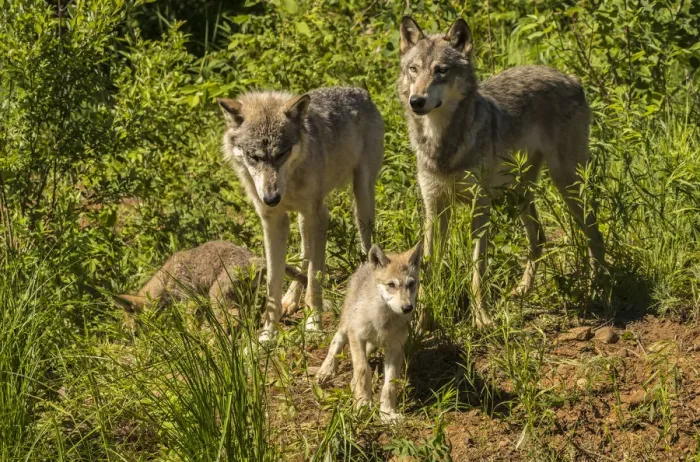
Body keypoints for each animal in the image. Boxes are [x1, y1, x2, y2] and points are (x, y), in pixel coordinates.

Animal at [114, 240, 306, 331]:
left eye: (130, 321)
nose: (132, 335)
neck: (165, 281)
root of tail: (254, 259)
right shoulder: (198, 305)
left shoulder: (190, 300)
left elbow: (190, 327)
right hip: (245, 296)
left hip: (217, 296)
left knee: (230, 319)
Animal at [218, 87, 384, 341]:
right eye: (254, 157)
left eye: (281, 153)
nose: (271, 198)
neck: (289, 184)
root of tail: (359, 91)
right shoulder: (273, 222)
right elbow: (273, 282)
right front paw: (267, 335)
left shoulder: (317, 215)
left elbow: (315, 278)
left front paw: (313, 324)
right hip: (305, 219)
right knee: (304, 254)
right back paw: (291, 299)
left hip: (360, 200)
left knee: (364, 243)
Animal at [316, 241, 423, 422]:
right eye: (391, 285)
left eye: (411, 284)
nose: (407, 308)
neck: (383, 322)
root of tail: (365, 265)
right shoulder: (356, 336)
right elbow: (363, 369)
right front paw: (363, 404)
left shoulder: (396, 347)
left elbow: (389, 384)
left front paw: (388, 413)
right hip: (346, 326)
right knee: (336, 342)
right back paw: (327, 370)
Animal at [397, 16, 606, 327]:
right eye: (414, 69)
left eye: (441, 71)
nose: (417, 101)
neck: (442, 146)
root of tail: (572, 78)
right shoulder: (435, 208)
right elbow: (427, 268)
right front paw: (421, 322)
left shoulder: (480, 206)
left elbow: (478, 269)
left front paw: (481, 319)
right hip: (519, 192)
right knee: (539, 237)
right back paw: (522, 291)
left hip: (566, 183)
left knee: (594, 234)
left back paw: (596, 291)